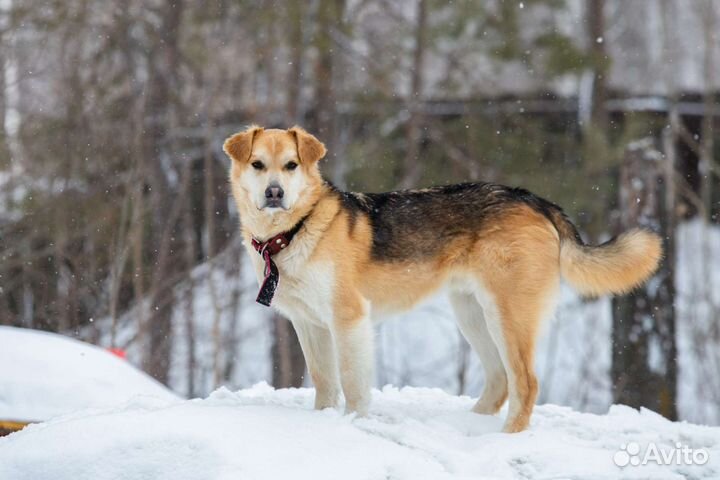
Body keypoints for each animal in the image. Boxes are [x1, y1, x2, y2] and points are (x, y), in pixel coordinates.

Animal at [222, 125, 660, 434]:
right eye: (258, 165)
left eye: (291, 165)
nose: (274, 193)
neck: (294, 231)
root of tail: (533, 199)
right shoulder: (309, 325)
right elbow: (325, 383)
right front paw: (323, 421)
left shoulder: (349, 320)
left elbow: (353, 385)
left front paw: (354, 425)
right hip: (472, 315)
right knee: (500, 381)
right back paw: (470, 426)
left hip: (508, 316)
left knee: (525, 382)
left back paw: (504, 439)